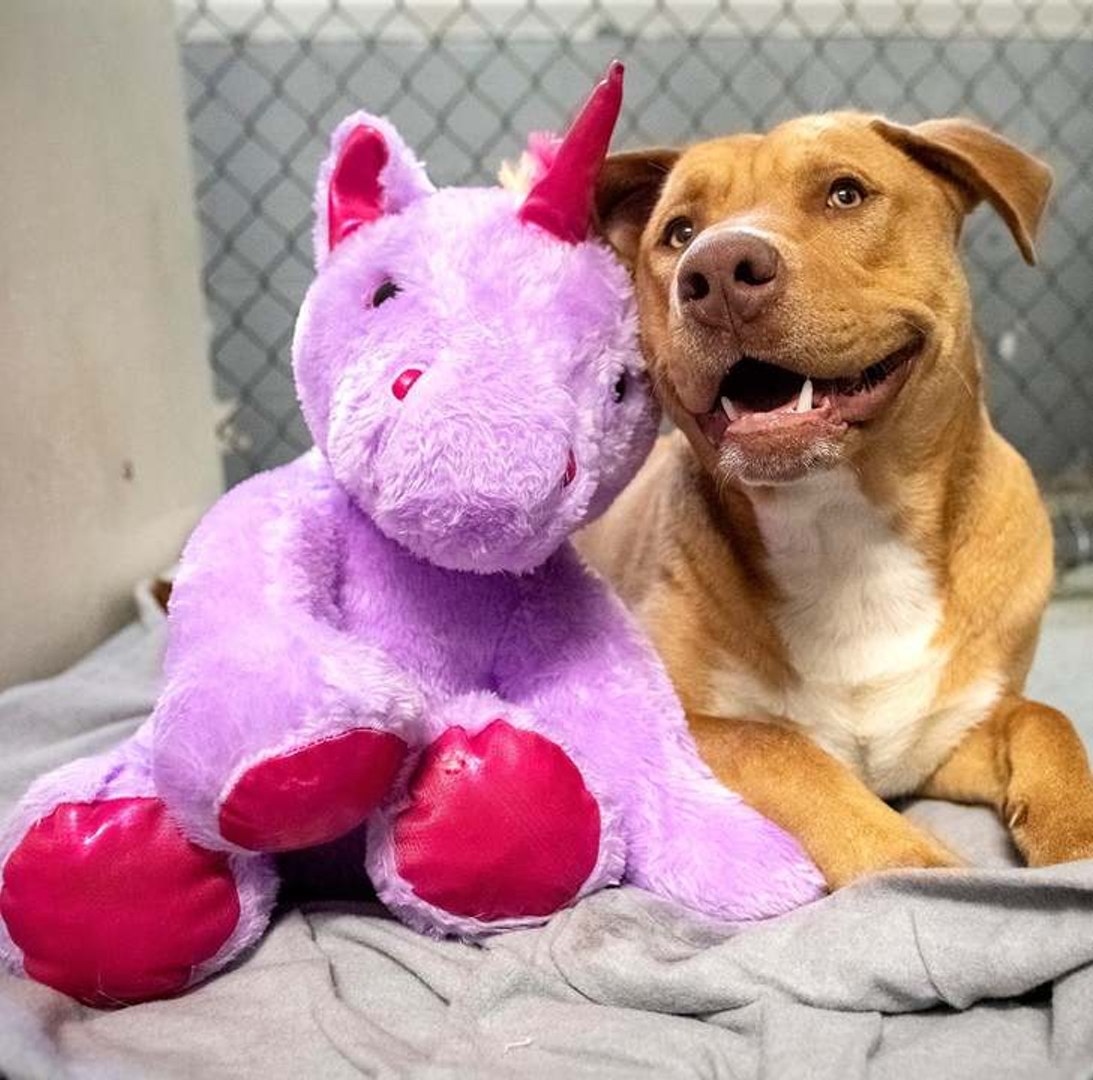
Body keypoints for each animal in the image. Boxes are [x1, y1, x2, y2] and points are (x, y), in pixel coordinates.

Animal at [581, 112, 1093, 887]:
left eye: (845, 194)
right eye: (678, 232)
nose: (717, 271)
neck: (845, 534)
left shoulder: (951, 735)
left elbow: (1046, 722)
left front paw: (1074, 839)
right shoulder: (682, 728)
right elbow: (780, 751)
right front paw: (919, 869)